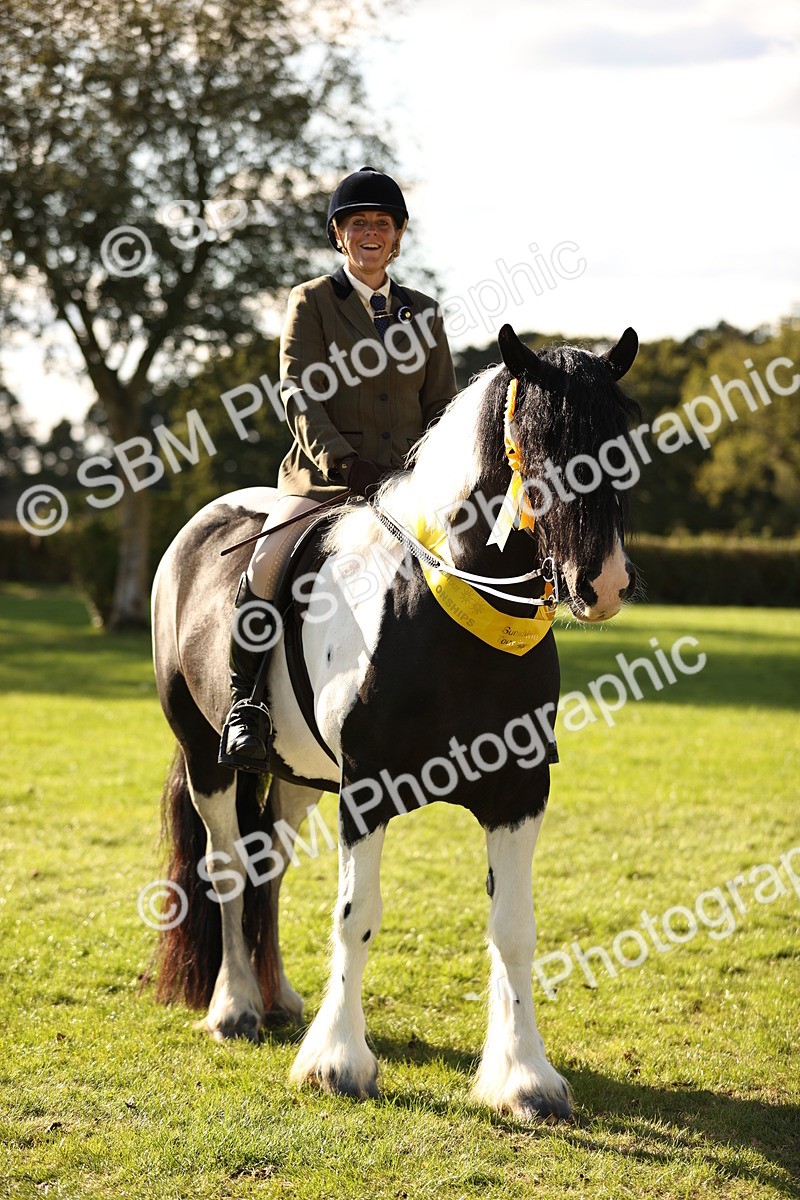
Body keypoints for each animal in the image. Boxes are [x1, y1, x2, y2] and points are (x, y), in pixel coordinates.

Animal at [149, 322, 640, 1122]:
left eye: (623, 441)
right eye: (538, 442)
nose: (600, 583)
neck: (445, 615)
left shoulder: (519, 795)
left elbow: (514, 928)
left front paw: (525, 1078)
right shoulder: (367, 792)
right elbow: (357, 914)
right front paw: (339, 1063)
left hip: (296, 774)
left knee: (267, 864)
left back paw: (279, 999)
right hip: (207, 756)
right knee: (226, 867)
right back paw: (236, 1008)